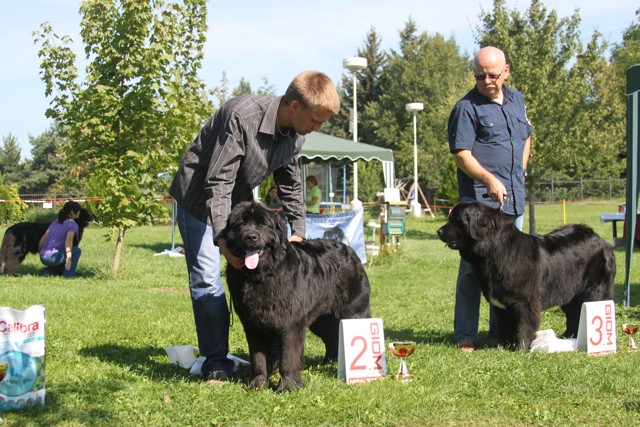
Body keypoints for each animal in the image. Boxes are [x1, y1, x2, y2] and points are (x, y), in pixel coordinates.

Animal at [220, 201, 371, 392]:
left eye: (263, 224)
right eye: (241, 223)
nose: (251, 237)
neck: (261, 275)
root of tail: (349, 250)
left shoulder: (291, 323)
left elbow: (289, 356)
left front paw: (288, 386)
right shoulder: (253, 325)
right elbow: (258, 358)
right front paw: (257, 384)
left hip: (353, 312)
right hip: (321, 319)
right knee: (331, 336)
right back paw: (329, 361)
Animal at [437, 202, 615, 351]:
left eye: (455, 220)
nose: (438, 231)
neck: (496, 251)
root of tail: (602, 241)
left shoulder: (525, 302)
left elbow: (523, 326)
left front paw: (520, 349)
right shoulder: (501, 306)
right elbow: (505, 327)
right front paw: (503, 347)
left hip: (593, 292)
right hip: (569, 293)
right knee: (573, 314)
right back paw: (568, 337)